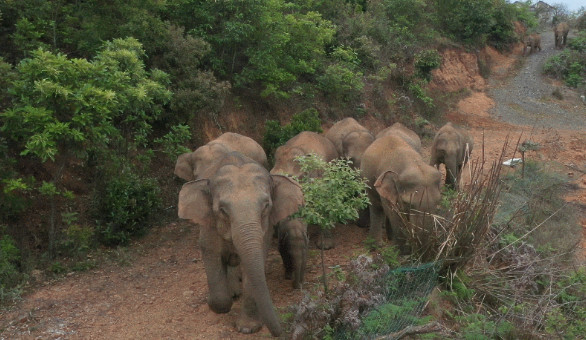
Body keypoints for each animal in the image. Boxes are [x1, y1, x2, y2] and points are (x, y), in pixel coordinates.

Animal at [177, 152, 304, 338]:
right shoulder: (209, 226)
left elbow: (254, 265)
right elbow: (212, 257)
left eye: (266, 206)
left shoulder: (265, 230)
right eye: (222, 210)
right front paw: (213, 303)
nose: (282, 330)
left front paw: (247, 328)